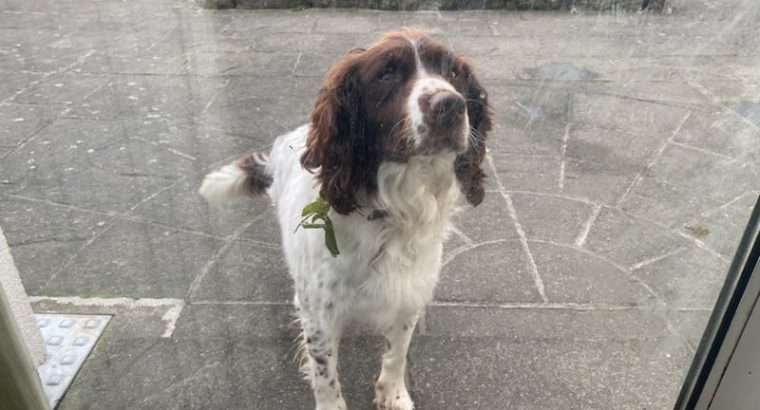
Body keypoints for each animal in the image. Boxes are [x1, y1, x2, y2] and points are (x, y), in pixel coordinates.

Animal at [199, 29, 490, 410]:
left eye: (452, 72)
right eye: (387, 74)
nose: (451, 105)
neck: (392, 208)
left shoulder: (408, 296)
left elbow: (397, 352)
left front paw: (393, 394)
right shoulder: (320, 314)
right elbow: (325, 372)